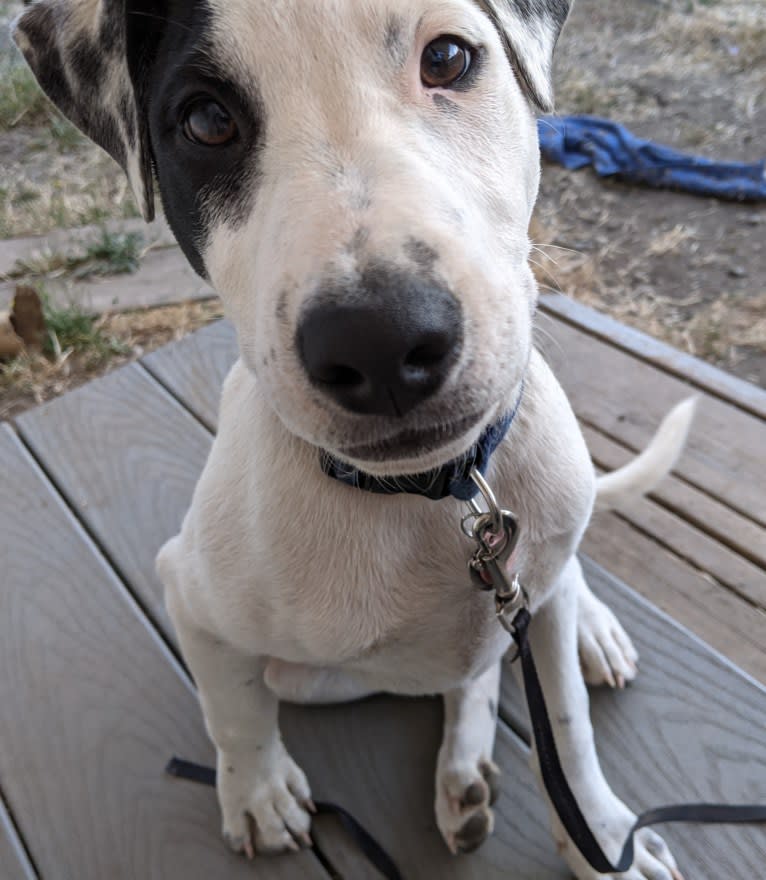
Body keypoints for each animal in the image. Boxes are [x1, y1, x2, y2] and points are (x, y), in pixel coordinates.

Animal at [16, 3, 696, 876]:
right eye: (205, 120)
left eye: (447, 59)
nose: (380, 341)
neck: (435, 499)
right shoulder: (191, 596)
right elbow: (234, 712)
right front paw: (257, 792)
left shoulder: (533, 605)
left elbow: (569, 731)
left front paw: (603, 838)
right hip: (316, 675)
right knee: (465, 672)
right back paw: (463, 771)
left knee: (545, 600)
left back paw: (586, 634)